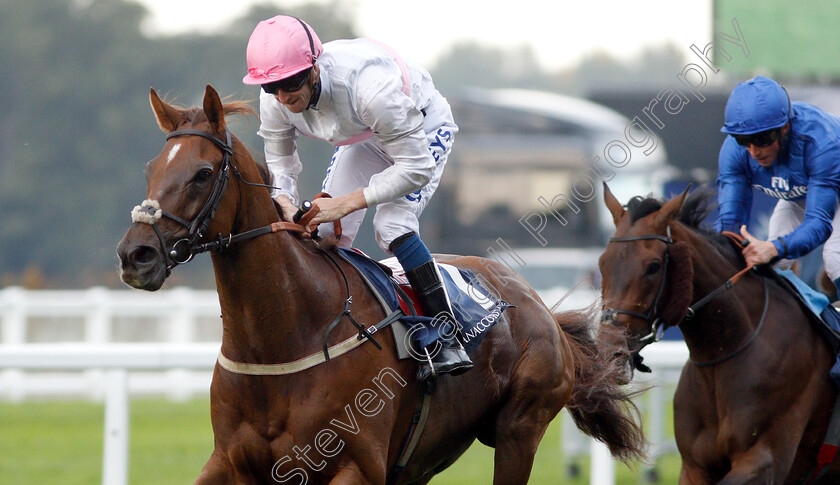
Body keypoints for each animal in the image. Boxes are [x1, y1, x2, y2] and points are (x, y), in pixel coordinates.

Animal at [116, 85, 644, 482]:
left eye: (203, 174)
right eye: (150, 170)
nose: (134, 255)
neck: (283, 337)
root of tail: (536, 303)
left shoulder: (356, 466)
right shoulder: (230, 462)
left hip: (520, 431)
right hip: (425, 457)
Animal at [596, 183, 840, 482]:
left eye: (653, 266)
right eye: (603, 263)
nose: (610, 351)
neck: (724, 350)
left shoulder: (763, 459)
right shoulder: (694, 467)